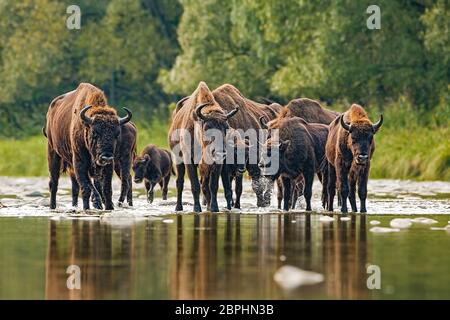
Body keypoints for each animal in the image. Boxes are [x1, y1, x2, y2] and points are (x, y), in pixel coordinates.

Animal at [44, 82, 132, 210]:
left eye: (117, 134)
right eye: (95, 133)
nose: (106, 157)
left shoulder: (108, 166)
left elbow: (106, 189)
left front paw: (109, 207)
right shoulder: (79, 162)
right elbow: (86, 187)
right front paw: (93, 204)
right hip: (53, 152)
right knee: (54, 183)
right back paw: (53, 206)